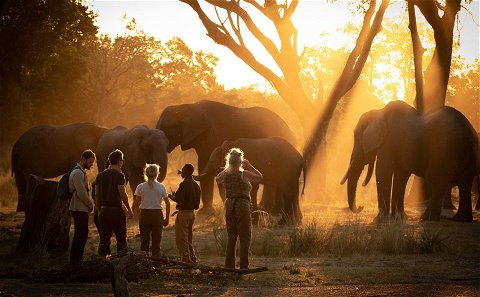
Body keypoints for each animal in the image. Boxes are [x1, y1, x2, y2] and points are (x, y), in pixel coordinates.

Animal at [156, 99, 296, 213]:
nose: (179, 171)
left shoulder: (213, 135)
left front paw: (207, 213)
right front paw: (207, 213)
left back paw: (269, 210)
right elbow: (203, 164)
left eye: (165, 128)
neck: (186, 107)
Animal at [342, 100, 480, 221]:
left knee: (439, 180)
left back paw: (426, 218)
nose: (361, 206)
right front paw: (399, 218)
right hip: (471, 153)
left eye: (356, 138)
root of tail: (468, 133)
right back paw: (460, 219)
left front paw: (379, 219)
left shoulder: (388, 141)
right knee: (465, 183)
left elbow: (383, 171)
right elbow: (401, 175)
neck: (379, 112)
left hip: (445, 150)